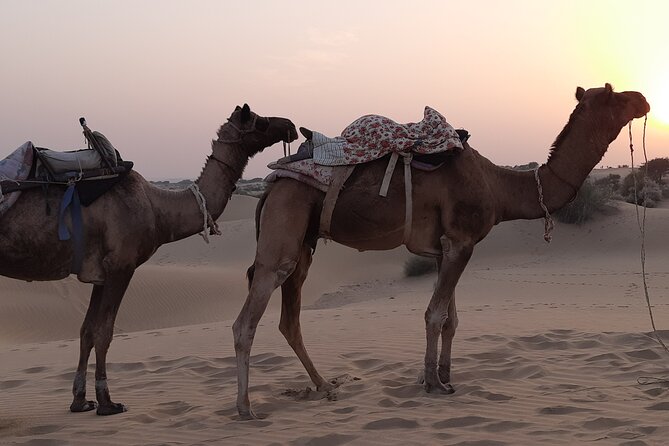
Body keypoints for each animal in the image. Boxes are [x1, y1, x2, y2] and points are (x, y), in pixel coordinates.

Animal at [0, 104, 298, 414]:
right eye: (258, 120)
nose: (290, 125)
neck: (158, 209)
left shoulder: (100, 273)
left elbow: (86, 331)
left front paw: (80, 400)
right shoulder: (121, 266)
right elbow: (104, 331)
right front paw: (107, 402)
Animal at [234, 83, 648, 418]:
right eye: (614, 95)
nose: (643, 99)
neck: (499, 187)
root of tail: (271, 184)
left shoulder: (442, 249)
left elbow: (451, 319)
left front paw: (444, 375)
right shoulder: (461, 242)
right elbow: (434, 314)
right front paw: (432, 383)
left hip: (303, 246)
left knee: (290, 319)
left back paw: (324, 386)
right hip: (284, 227)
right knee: (248, 318)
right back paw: (246, 408)